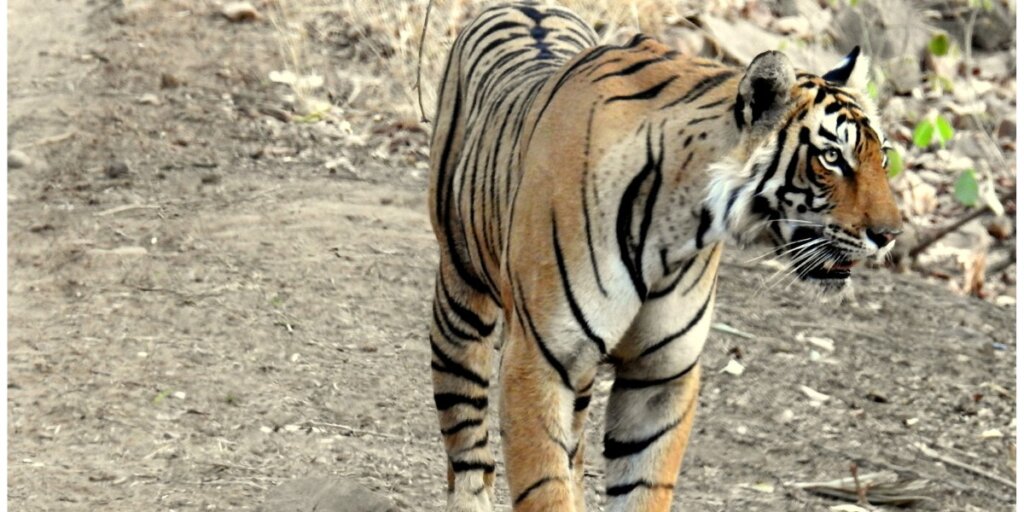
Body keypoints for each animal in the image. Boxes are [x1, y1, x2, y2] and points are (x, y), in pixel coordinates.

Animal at [425, 2, 905, 509]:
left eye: (882, 157)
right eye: (831, 158)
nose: (891, 235)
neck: (679, 224)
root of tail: (525, 6)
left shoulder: (661, 373)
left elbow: (642, 484)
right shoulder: (537, 359)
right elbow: (543, 485)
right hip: (462, 295)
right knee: (466, 430)